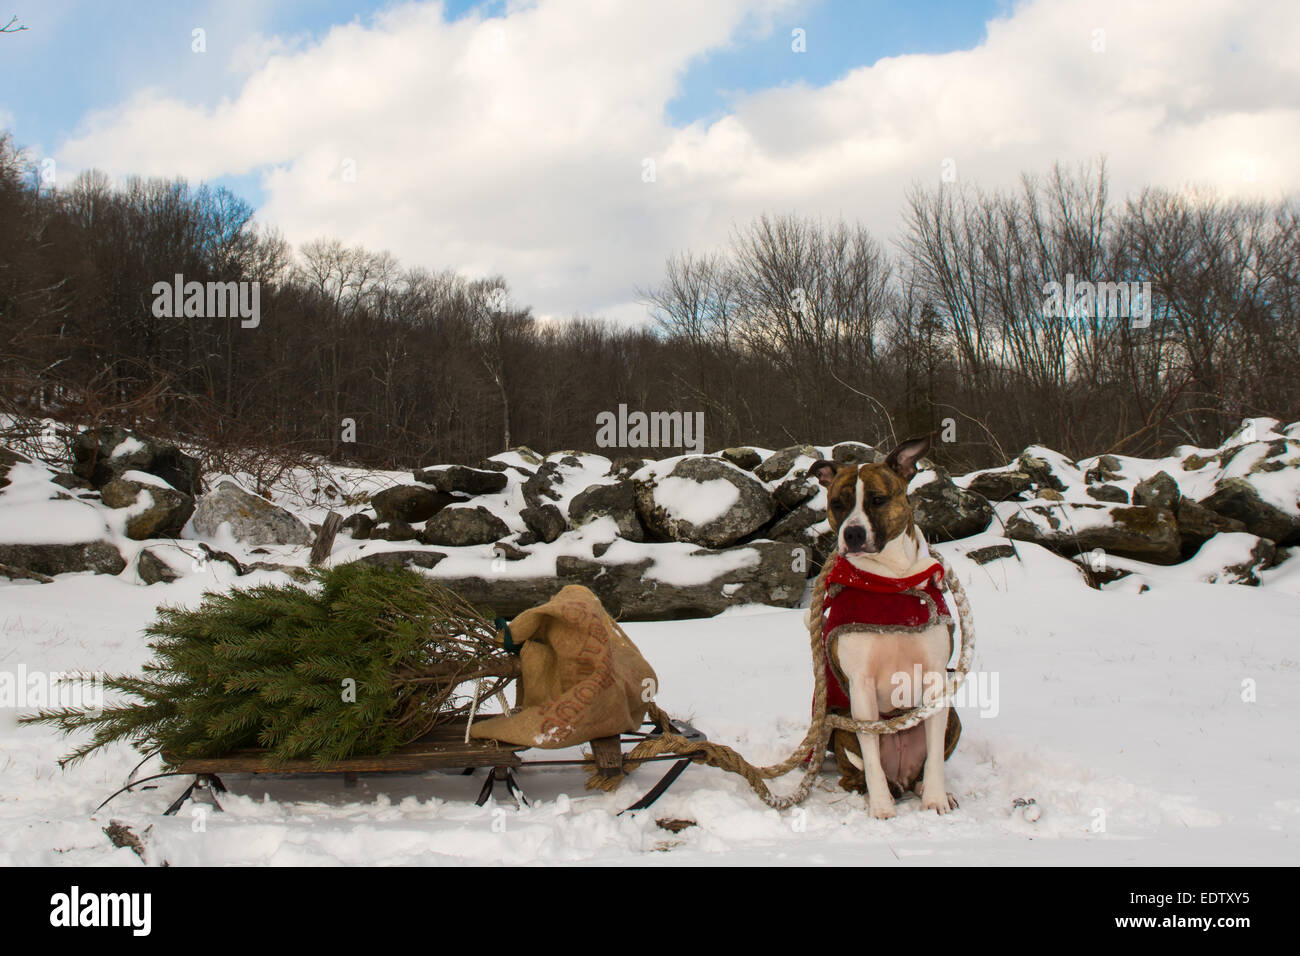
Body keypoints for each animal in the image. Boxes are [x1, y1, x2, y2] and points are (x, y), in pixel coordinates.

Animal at [806, 437, 961, 816]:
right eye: (837, 504)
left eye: (877, 499)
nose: (853, 533)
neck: (888, 581)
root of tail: (901, 775)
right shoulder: (861, 686)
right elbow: (872, 757)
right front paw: (880, 808)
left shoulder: (936, 680)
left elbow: (935, 759)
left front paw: (936, 799)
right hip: (840, 726)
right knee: (857, 773)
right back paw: (877, 792)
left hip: (953, 717)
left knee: (925, 764)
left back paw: (924, 788)